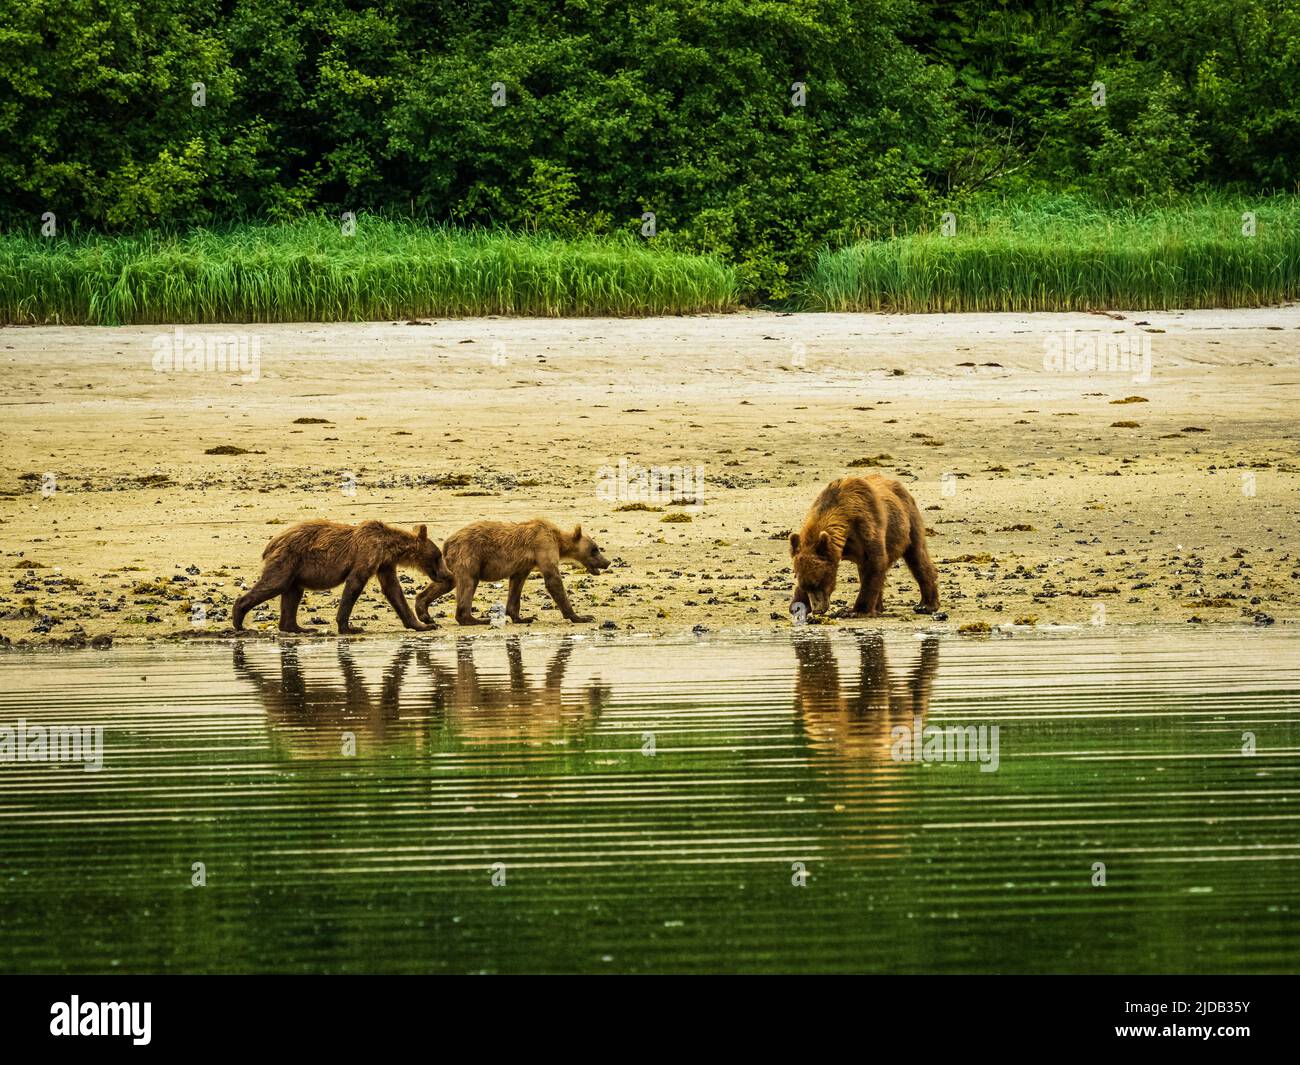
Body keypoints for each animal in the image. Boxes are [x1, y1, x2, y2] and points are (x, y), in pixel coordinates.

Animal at [785, 478, 941, 621]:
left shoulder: (866, 526)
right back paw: (879, 607)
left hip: (908, 521)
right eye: (807, 586)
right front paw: (798, 605)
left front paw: (857, 611)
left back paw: (926, 605)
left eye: (819, 582)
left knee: (917, 557)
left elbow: (874, 563)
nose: (818, 609)